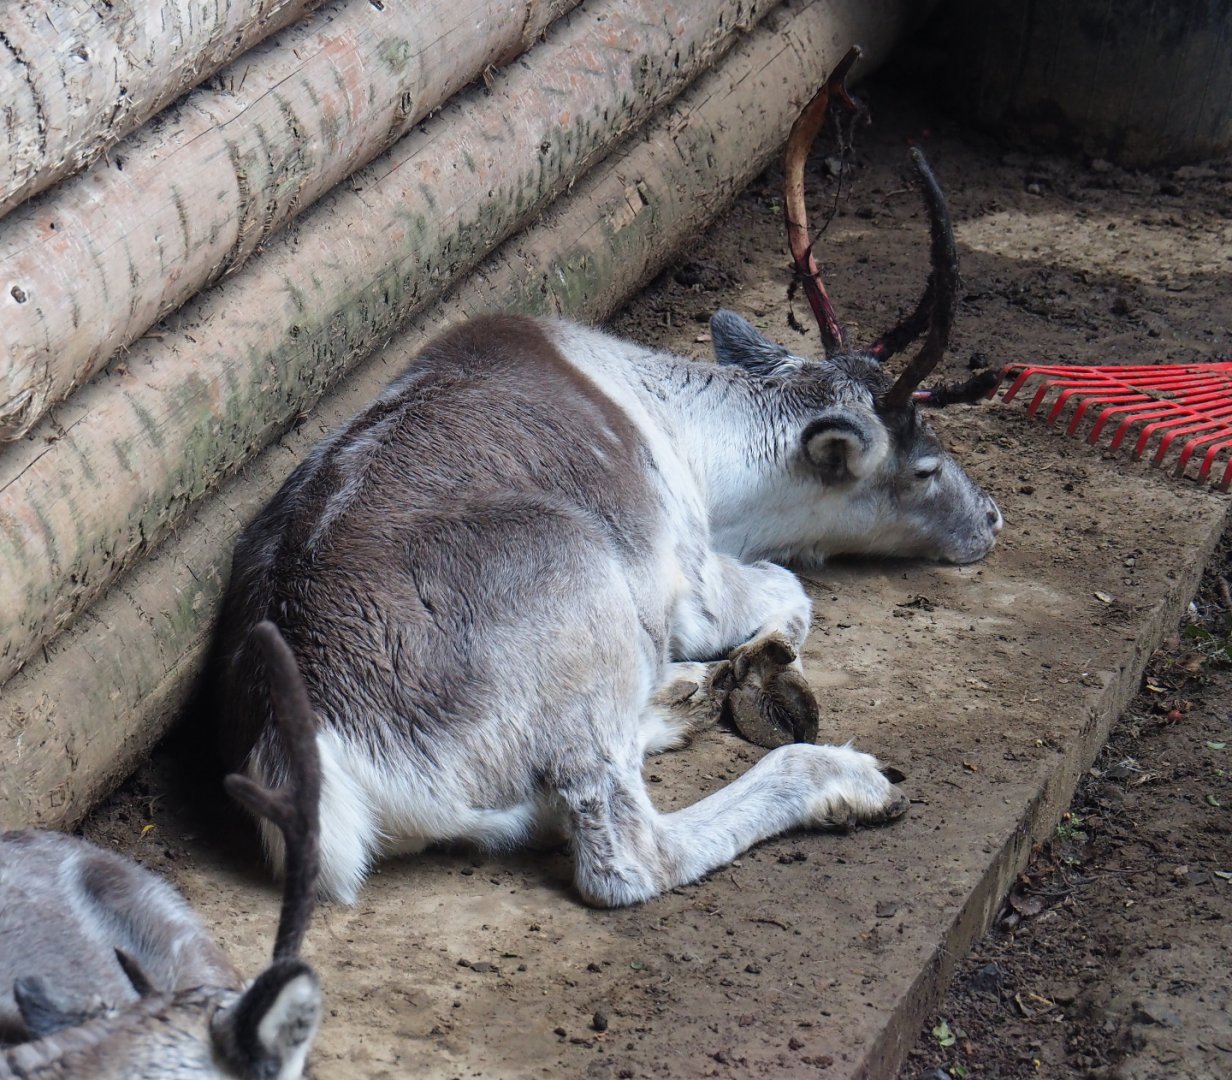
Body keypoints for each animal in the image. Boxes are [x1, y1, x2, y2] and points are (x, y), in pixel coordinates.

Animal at [213, 49, 1002, 909]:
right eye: (924, 467)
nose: (992, 518)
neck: (698, 452)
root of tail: (318, 757)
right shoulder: (691, 579)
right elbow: (793, 595)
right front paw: (763, 667)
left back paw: (681, 700)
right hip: (582, 607)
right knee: (623, 851)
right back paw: (835, 773)